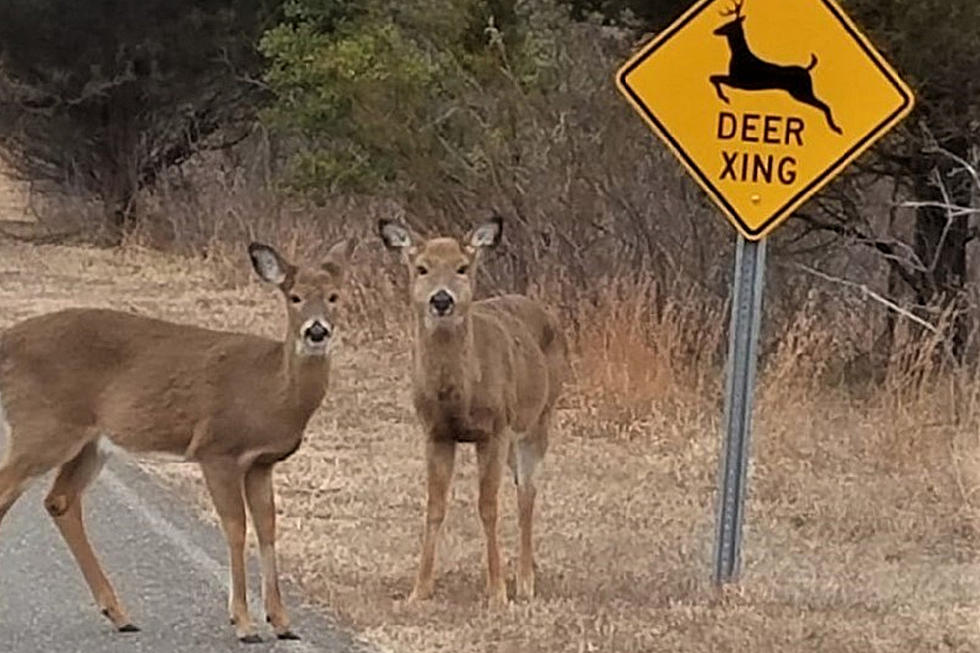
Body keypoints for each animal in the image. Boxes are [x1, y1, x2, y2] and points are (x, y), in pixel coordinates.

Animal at [0, 237, 354, 640]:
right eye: (295, 297)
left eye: (334, 296)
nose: (316, 331)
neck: (272, 393)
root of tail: (7, 341)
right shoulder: (217, 449)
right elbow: (236, 527)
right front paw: (243, 621)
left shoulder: (261, 463)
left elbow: (267, 528)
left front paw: (281, 621)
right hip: (43, 426)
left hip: (90, 442)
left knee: (60, 500)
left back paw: (119, 613)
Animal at [378, 216, 572, 608]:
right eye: (422, 268)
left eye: (462, 267)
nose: (441, 300)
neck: (460, 394)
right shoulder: (435, 432)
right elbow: (435, 505)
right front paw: (419, 590)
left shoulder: (494, 429)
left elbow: (488, 506)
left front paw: (497, 591)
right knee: (522, 487)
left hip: (538, 418)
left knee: (528, 493)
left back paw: (525, 582)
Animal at [708, 0, 848, 134]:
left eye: (729, 24)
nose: (715, 30)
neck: (739, 55)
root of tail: (807, 69)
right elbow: (713, 77)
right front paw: (724, 97)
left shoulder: (737, 81)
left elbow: (714, 78)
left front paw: (725, 98)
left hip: (802, 91)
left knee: (824, 105)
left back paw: (836, 128)